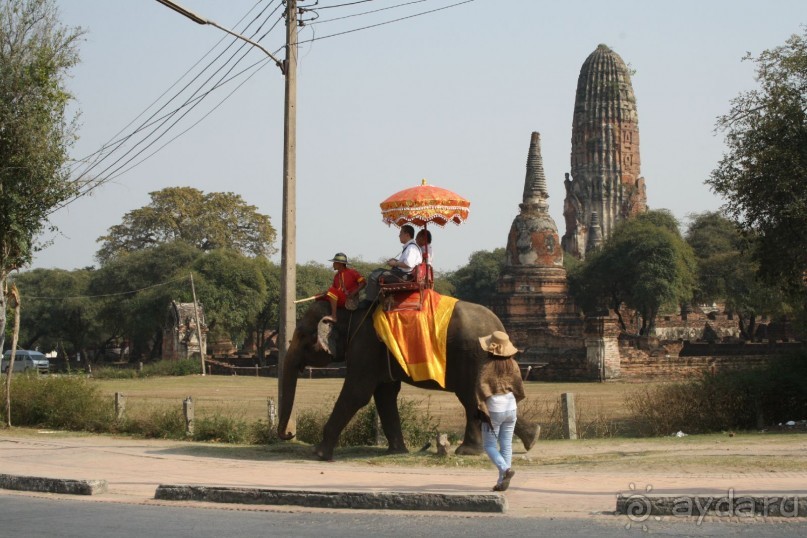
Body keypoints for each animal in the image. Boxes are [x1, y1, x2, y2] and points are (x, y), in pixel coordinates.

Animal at [274, 300, 540, 458]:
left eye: (301, 335)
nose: (289, 434)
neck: (349, 310)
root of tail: (501, 328)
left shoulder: (366, 344)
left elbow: (357, 392)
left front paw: (318, 453)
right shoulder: (379, 351)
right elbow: (384, 394)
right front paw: (396, 451)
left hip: (472, 357)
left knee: (472, 399)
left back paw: (468, 451)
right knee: (478, 399)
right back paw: (532, 437)